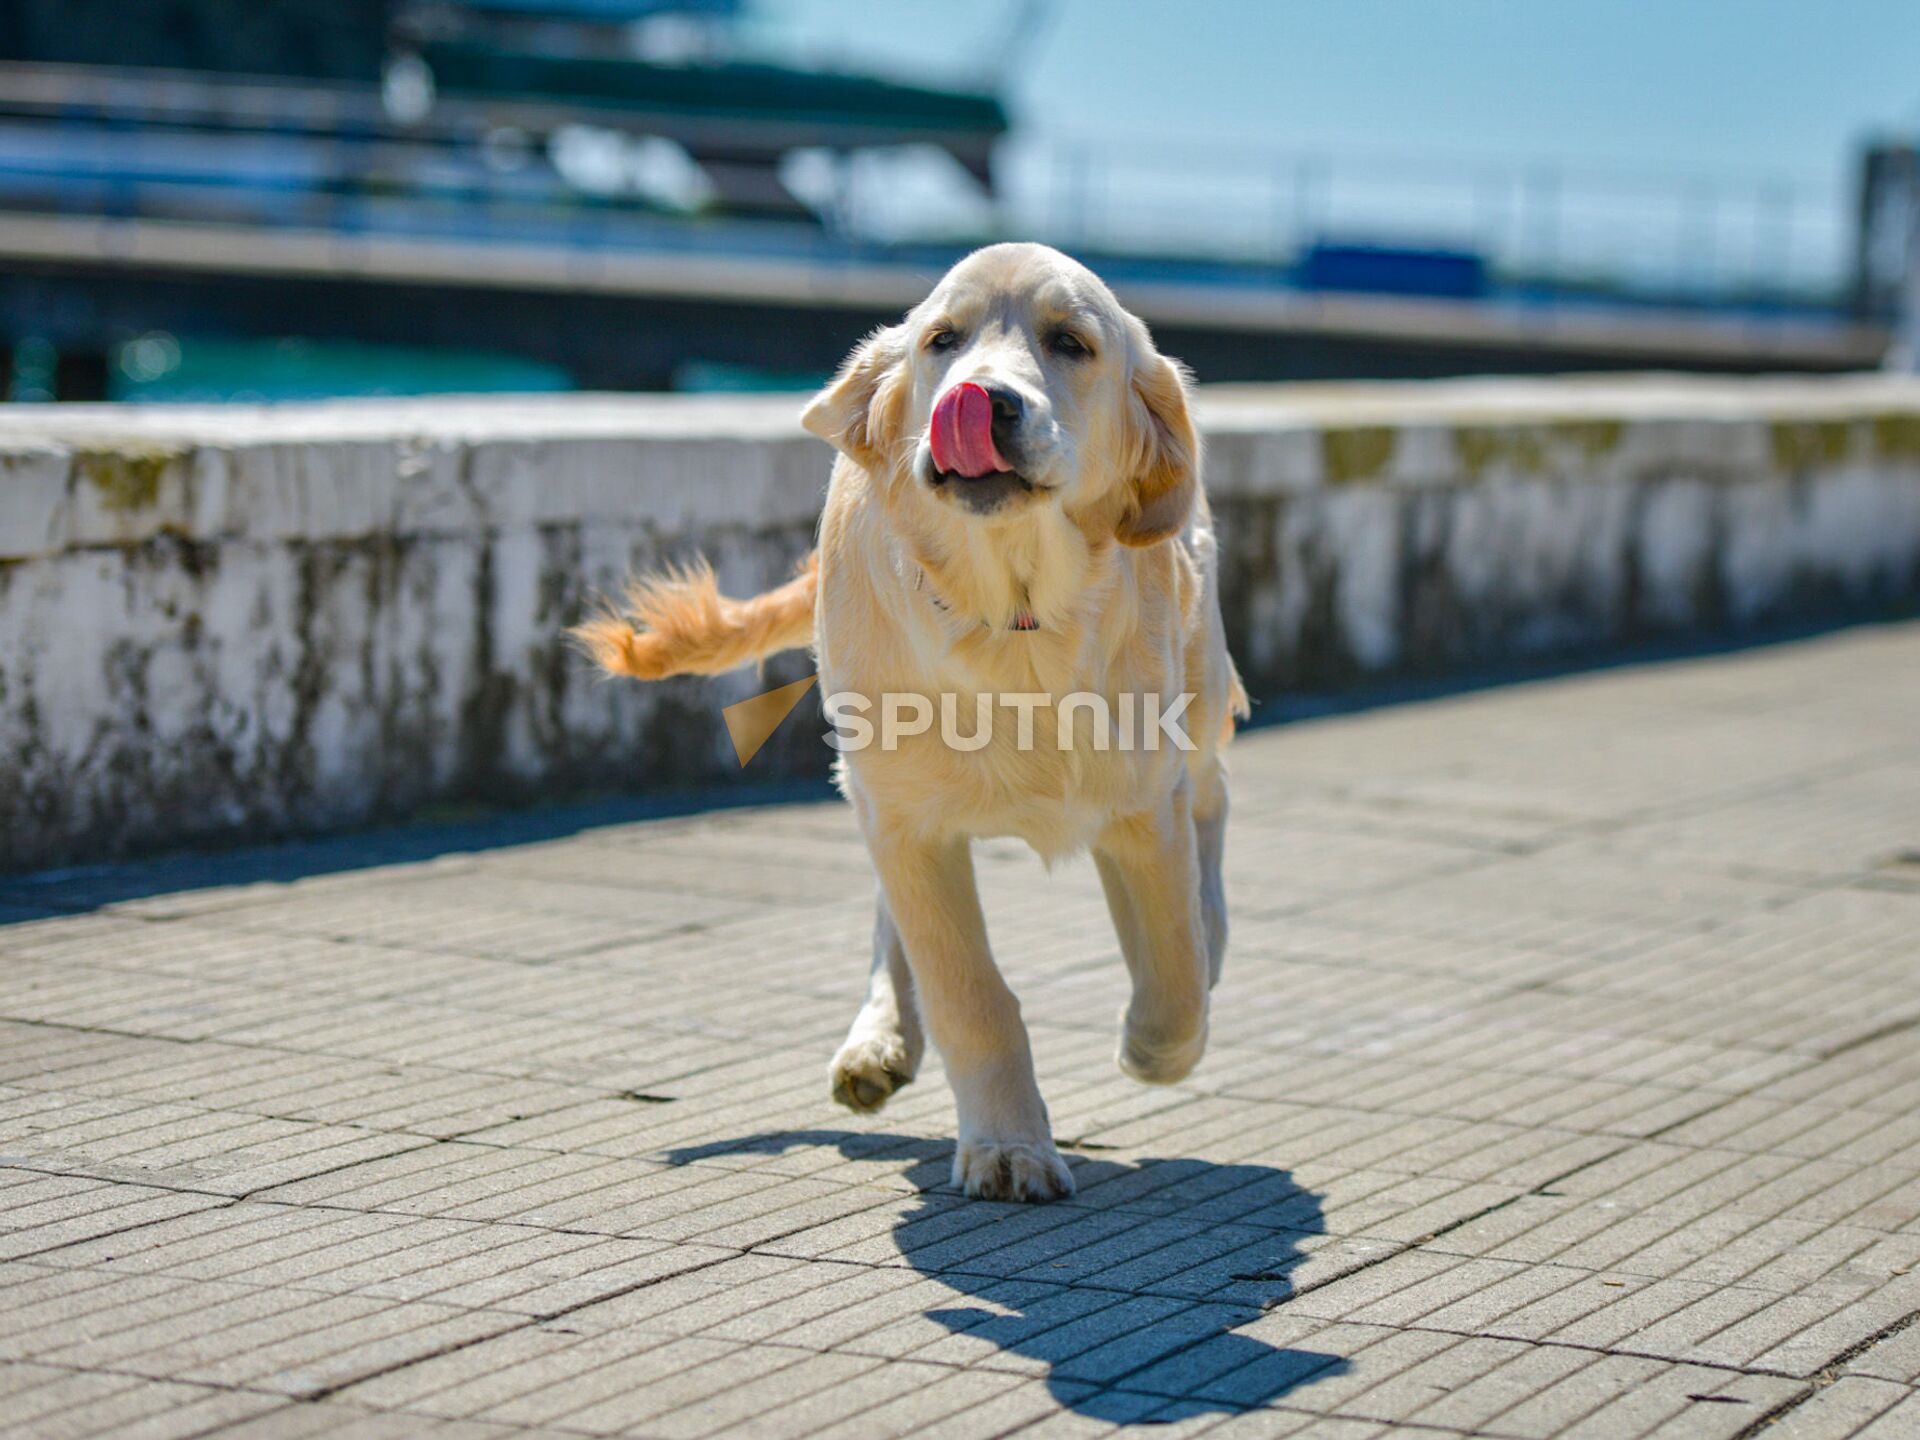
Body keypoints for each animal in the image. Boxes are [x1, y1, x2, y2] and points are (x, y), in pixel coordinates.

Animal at [576, 242, 1251, 1198]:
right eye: (943, 340)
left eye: (1071, 343)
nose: (981, 400)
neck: (1012, 617)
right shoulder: (904, 816)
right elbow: (966, 989)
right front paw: (1007, 1145)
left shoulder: (1140, 802)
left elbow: (1173, 965)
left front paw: (1153, 1047)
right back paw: (880, 1040)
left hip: (1198, 692)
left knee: (1212, 808)